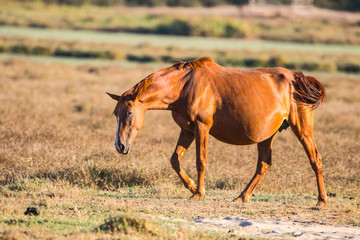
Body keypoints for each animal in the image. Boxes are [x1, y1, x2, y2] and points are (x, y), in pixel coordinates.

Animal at [106, 56, 326, 204]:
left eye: (129, 113)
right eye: (116, 113)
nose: (120, 146)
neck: (185, 86)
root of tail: (296, 78)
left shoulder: (201, 127)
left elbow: (200, 161)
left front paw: (199, 193)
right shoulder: (187, 130)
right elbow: (175, 160)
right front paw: (192, 187)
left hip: (302, 129)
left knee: (315, 159)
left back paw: (321, 200)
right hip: (267, 136)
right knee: (263, 165)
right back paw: (242, 196)